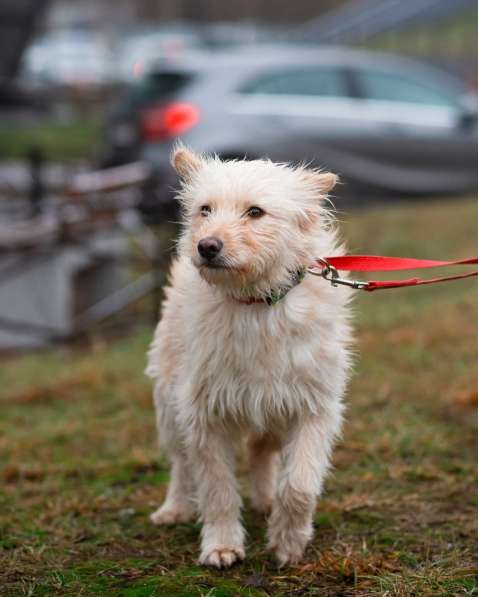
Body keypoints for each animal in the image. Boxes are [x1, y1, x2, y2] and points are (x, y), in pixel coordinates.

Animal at [148, 147, 352, 564]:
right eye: (205, 209)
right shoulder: (203, 414)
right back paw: (175, 508)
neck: (256, 303)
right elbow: (217, 488)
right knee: (180, 463)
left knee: (261, 450)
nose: (207, 246)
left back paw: (265, 499)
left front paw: (289, 541)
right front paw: (222, 544)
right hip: (169, 402)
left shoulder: (314, 407)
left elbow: (300, 485)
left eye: (255, 212)